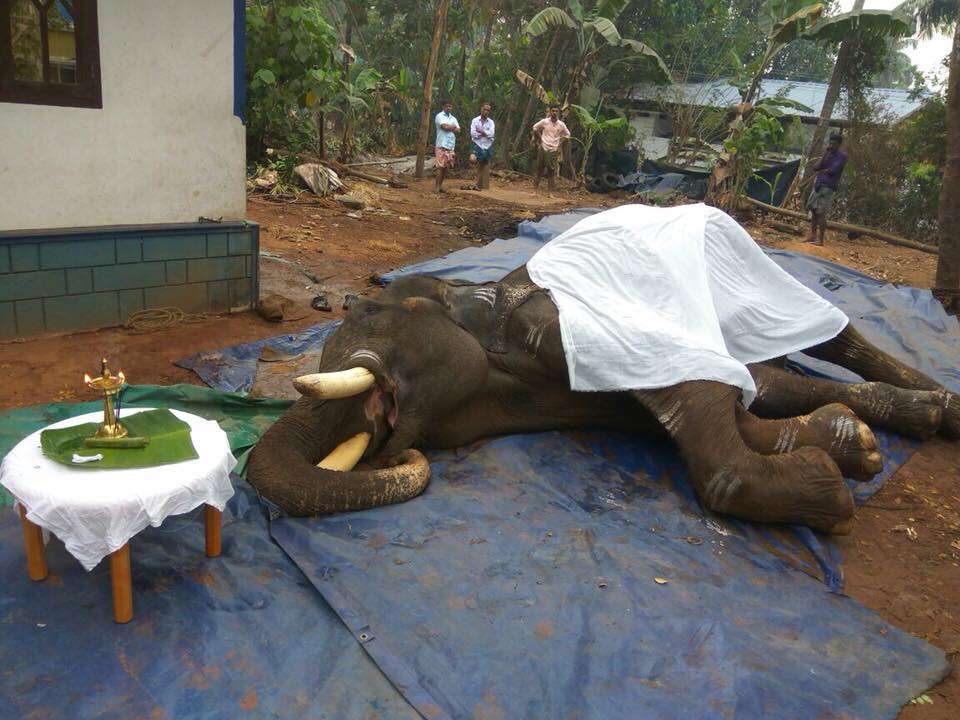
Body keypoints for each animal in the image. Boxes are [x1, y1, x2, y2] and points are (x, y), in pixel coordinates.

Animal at [247, 215, 959, 535]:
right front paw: (848, 444)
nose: (400, 456)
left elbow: (703, 392)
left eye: (370, 314)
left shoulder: (561, 321)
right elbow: (748, 398)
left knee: (833, 330)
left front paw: (830, 487)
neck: (472, 298)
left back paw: (942, 404)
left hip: (746, 264)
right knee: (784, 369)